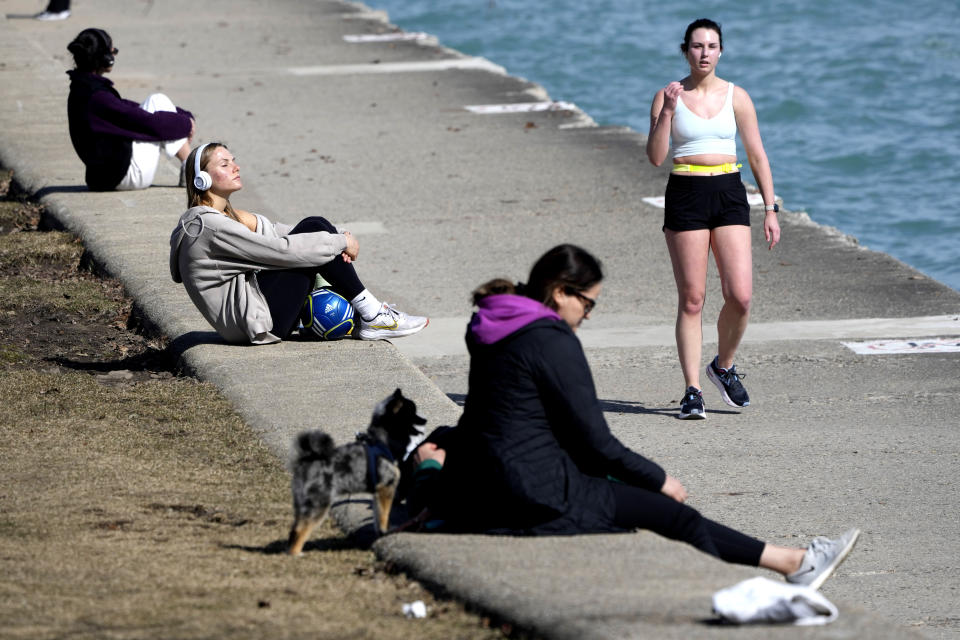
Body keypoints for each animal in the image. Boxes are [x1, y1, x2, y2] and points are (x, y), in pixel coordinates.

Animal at [286, 388, 426, 552]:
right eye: (413, 412)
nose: (425, 420)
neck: (381, 441)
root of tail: (306, 462)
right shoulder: (386, 487)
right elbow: (384, 515)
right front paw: (385, 531)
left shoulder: (378, 492)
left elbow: (378, 514)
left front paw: (379, 531)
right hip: (319, 502)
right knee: (300, 530)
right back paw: (295, 553)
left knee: (294, 528)